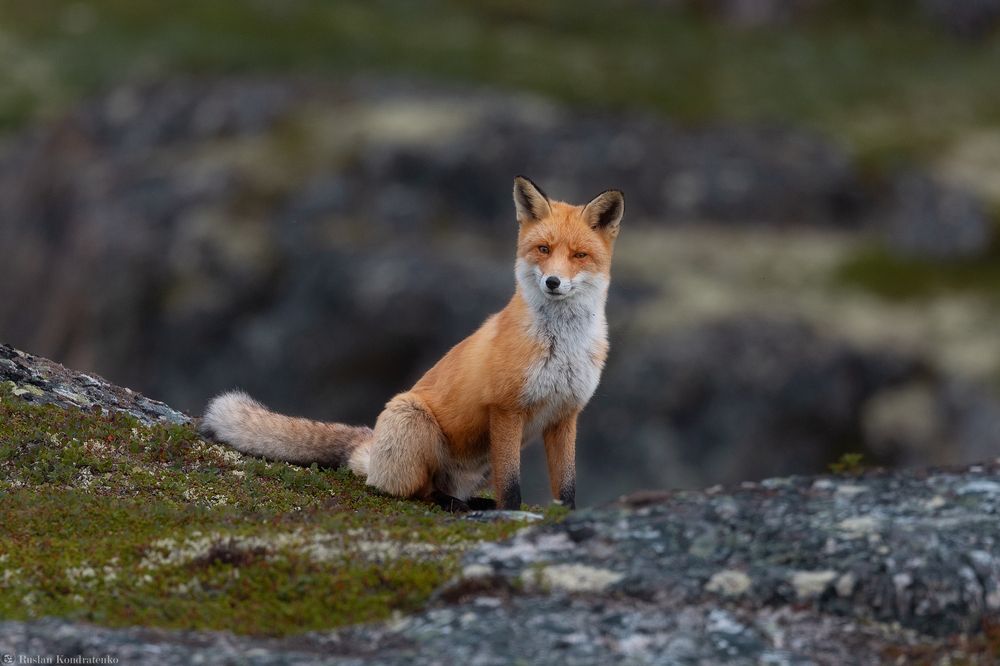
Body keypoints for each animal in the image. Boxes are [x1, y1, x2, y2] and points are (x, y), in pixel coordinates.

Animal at [200, 176, 624, 511]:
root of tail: (372, 453)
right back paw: (454, 505)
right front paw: (512, 516)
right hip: (415, 420)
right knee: (413, 490)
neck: (560, 346)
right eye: (543, 250)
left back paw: (473, 503)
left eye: (579, 255)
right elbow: (513, 489)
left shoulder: (565, 415)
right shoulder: (506, 409)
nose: (553, 282)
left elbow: (566, 487)